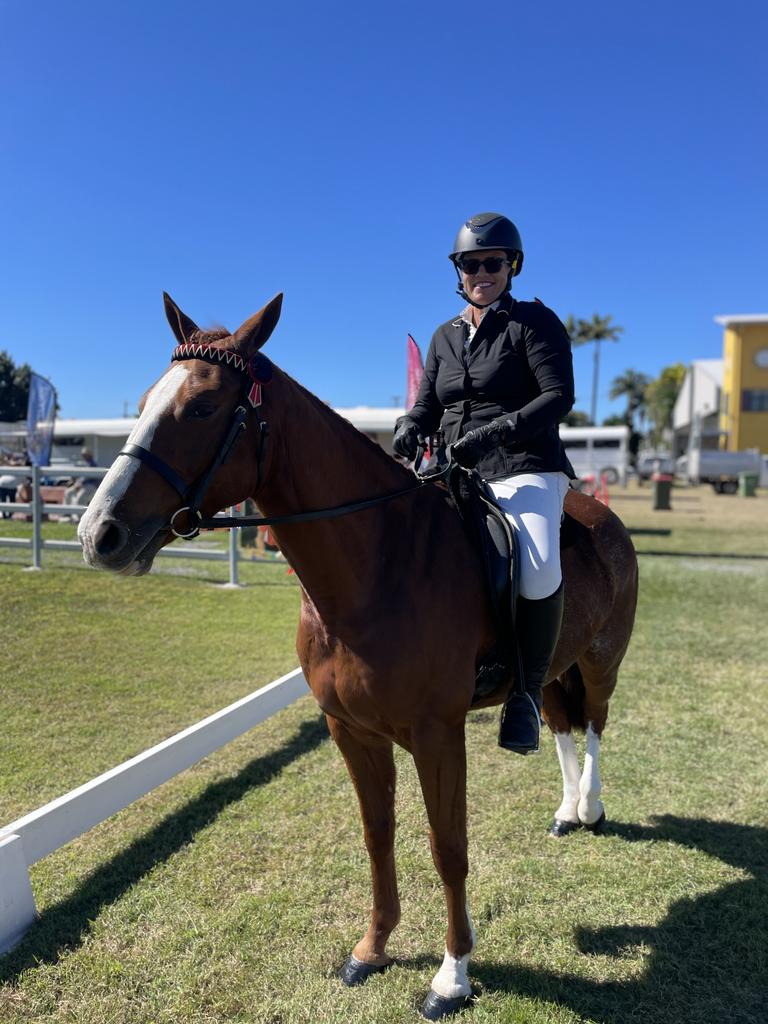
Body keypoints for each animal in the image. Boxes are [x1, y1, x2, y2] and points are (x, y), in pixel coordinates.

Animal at [79, 292, 638, 1019]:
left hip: (600, 661)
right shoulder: (349, 729)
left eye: (200, 407)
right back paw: (569, 812)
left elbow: (448, 846)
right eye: (145, 400)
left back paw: (591, 809)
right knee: (564, 724)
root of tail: (601, 516)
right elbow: (378, 836)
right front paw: (372, 950)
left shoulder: (436, 734)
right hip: (546, 672)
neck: (379, 565)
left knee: (594, 722)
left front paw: (451, 977)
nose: (99, 535)